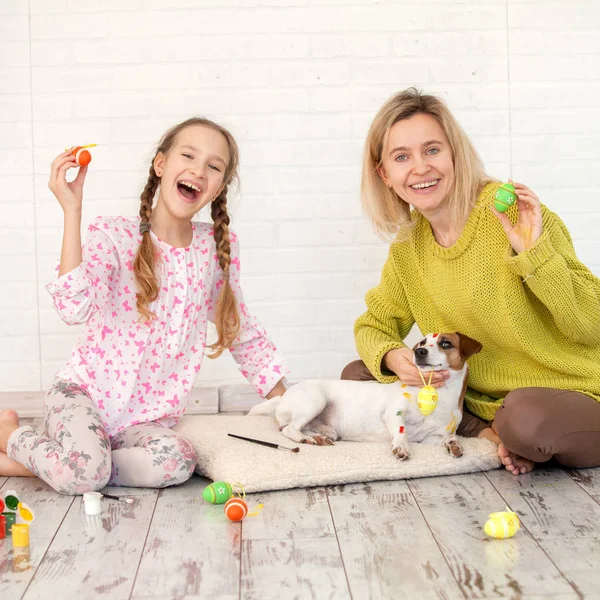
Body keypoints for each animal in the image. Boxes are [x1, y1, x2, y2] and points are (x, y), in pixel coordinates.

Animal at [248, 332, 482, 460]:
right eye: (423, 343)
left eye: (445, 343)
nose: (419, 352)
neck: (440, 394)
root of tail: (285, 395)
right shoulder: (394, 414)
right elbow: (401, 433)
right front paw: (401, 448)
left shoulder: (430, 438)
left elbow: (447, 438)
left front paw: (453, 445)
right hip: (315, 401)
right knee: (289, 429)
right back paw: (305, 439)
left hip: (329, 429)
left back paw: (318, 438)